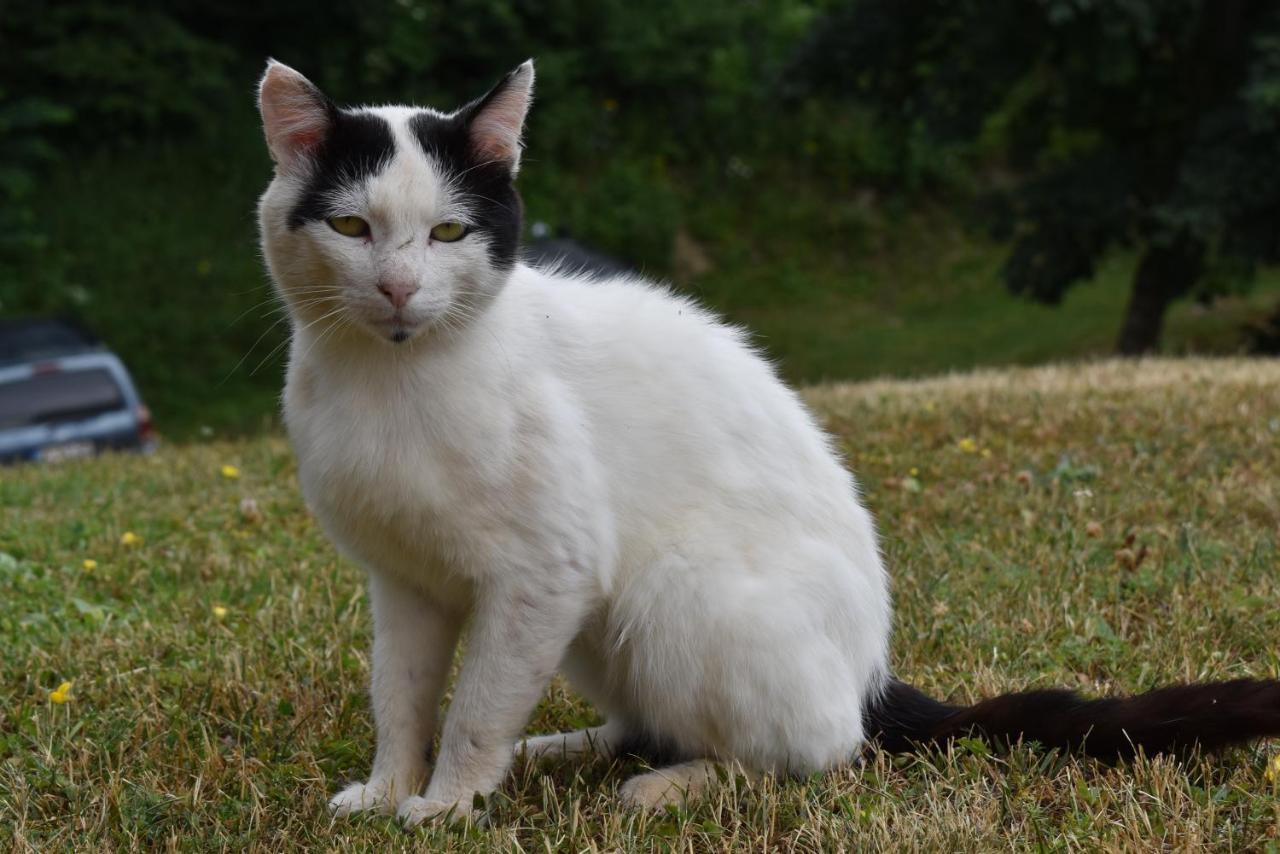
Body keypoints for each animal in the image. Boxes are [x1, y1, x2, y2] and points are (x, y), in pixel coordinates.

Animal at [252, 55, 1280, 829]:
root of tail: (870, 677)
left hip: (665, 591)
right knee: (649, 720)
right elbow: (401, 695)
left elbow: (470, 712)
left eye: (449, 231)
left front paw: (447, 806)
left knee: (814, 754)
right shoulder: (408, 581)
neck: (394, 382)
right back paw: (560, 751)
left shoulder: (544, 569)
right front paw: (389, 789)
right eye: (351, 225)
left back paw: (668, 786)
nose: (397, 290)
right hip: (593, 626)